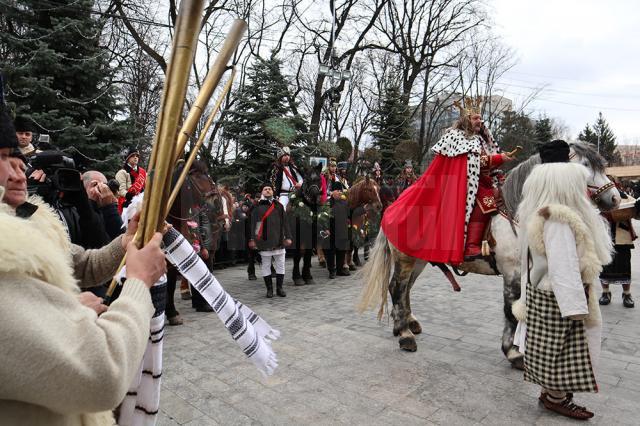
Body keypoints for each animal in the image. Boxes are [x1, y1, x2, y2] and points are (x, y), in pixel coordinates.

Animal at [358, 141, 616, 368]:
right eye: (586, 166)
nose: (614, 198)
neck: (516, 211)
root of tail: (393, 204)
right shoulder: (512, 272)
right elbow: (511, 310)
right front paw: (513, 353)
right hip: (405, 258)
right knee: (397, 288)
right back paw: (404, 334)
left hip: (418, 259)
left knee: (406, 289)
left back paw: (407, 324)